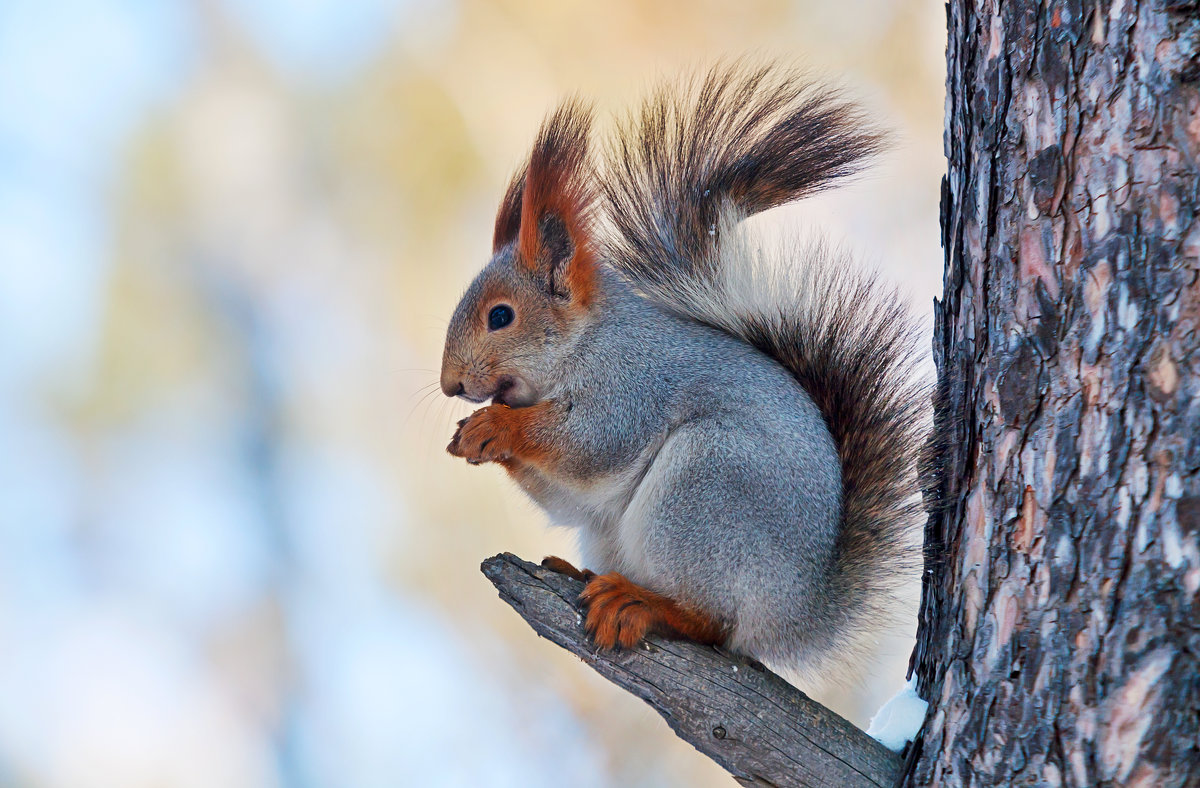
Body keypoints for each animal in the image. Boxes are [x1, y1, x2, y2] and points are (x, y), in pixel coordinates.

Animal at [441, 62, 926, 676]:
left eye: (500, 316)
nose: (449, 384)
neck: (585, 344)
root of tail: (796, 613)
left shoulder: (634, 384)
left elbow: (590, 444)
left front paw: (497, 426)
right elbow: (568, 501)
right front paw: (471, 436)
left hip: (704, 489)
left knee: (712, 623)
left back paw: (641, 605)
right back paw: (585, 574)